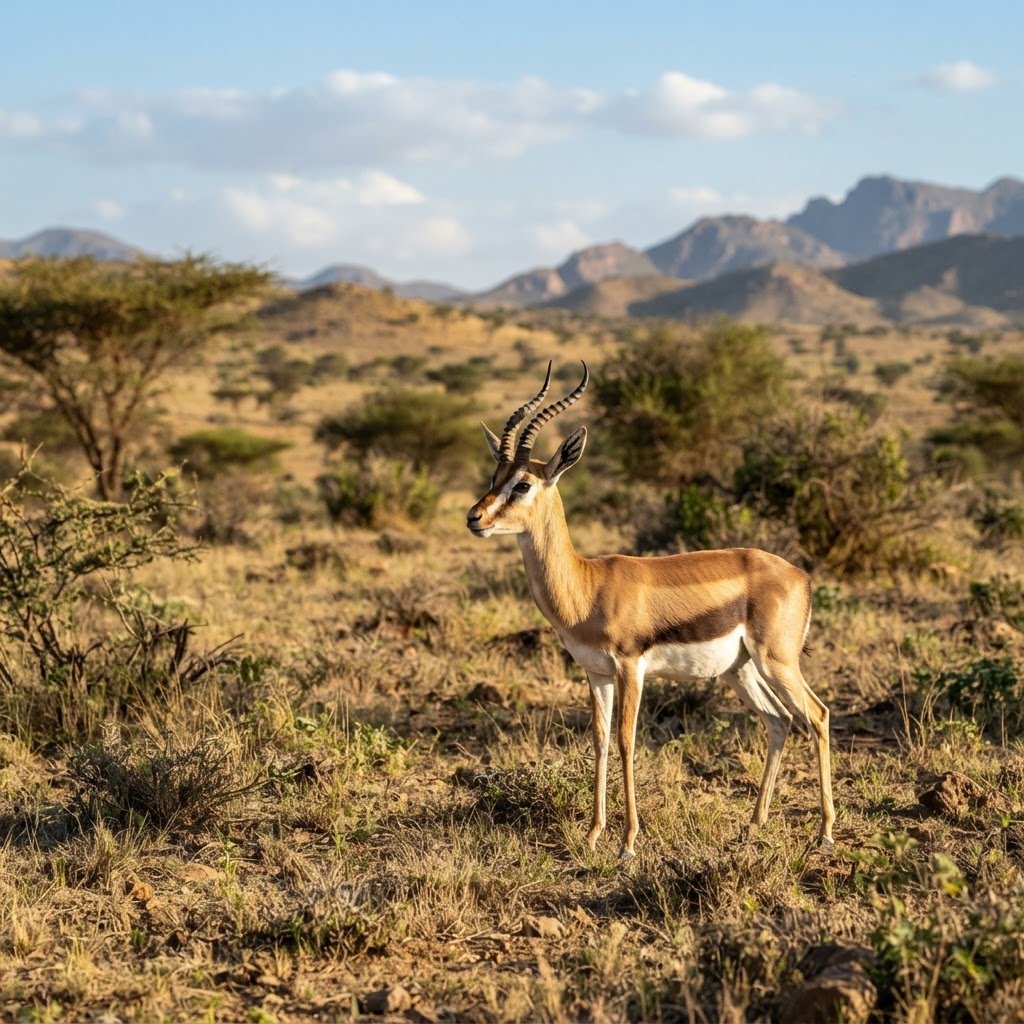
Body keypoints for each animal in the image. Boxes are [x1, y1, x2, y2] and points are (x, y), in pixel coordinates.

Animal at [467, 362, 835, 859]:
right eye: (494, 477)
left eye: (522, 484)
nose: (475, 518)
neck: (588, 585)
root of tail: (800, 575)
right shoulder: (596, 672)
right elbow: (600, 742)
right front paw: (593, 835)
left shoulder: (630, 667)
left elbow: (626, 742)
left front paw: (627, 843)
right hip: (740, 669)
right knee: (779, 722)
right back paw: (753, 826)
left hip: (777, 661)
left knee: (817, 716)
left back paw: (825, 833)